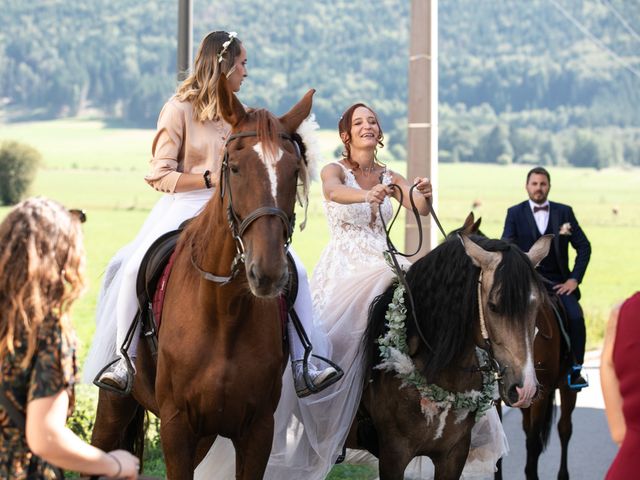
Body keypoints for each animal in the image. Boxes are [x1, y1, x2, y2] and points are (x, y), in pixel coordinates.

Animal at [91, 73, 316, 478]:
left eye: (294, 171)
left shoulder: (257, 429)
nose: (268, 272)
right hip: (115, 405)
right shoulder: (177, 425)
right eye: (235, 167)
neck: (225, 310)